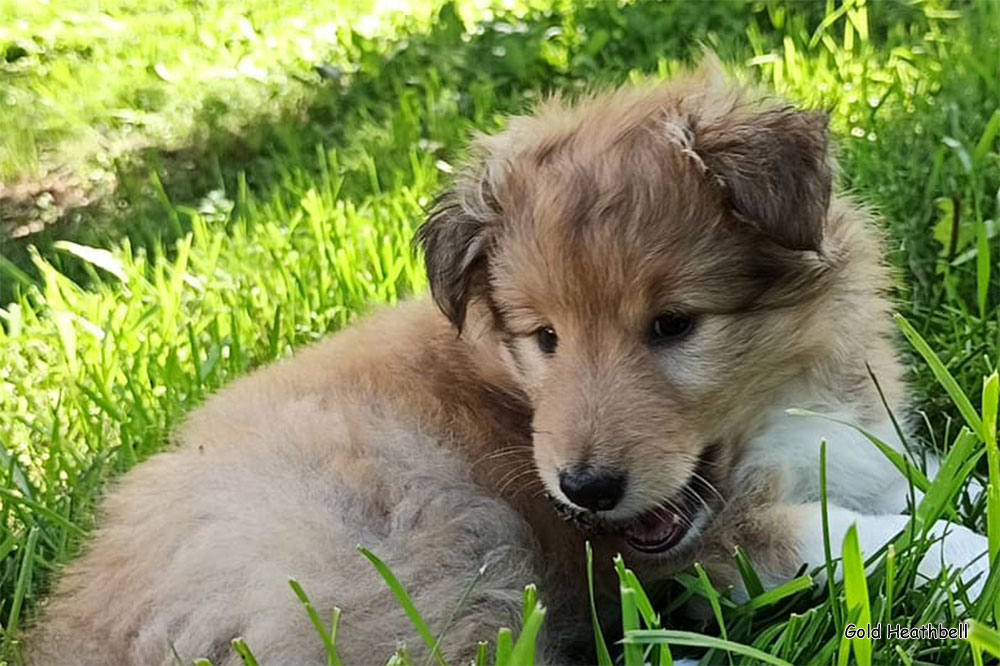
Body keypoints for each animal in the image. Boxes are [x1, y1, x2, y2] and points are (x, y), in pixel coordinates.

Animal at [27, 61, 988, 664]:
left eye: (673, 324)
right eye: (544, 337)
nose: (586, 491)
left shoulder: (862, 446)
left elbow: (930, 483)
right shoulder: (703, 552)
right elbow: (865, 535)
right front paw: (974, 561)